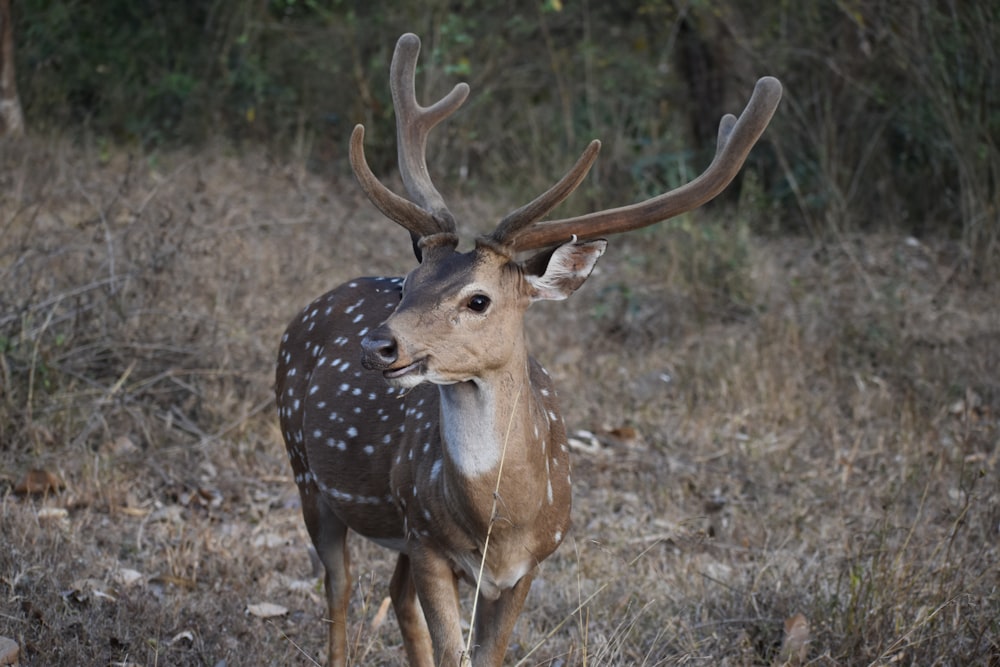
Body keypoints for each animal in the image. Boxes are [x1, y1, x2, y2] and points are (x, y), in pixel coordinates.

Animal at [278, 34, 784, 667]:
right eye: (408, 285)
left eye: (478, 299)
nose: (378, 344)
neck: (502, 524)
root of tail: (310, 308)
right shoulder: (427, 538)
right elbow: (452, 650)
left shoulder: (529, 564)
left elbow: (482, 654)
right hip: (303, 464)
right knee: (340, 586)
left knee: (392, 596)